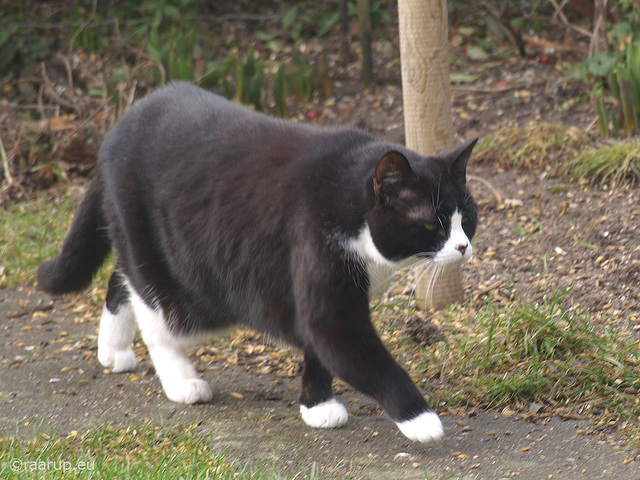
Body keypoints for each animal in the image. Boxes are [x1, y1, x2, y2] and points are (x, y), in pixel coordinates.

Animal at [35, 81, 476, 442]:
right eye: (431, 223)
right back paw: (181, 381)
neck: (349, 203)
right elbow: (357, 352)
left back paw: (112, 351)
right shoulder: (325, 287)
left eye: (467, 217)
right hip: (174, 270)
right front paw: (421, 419)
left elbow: (317, 348)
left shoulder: (312, 294)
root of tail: (117, 129)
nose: (463, 247)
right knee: (153, 307)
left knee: (120, 277)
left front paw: (316, 407)